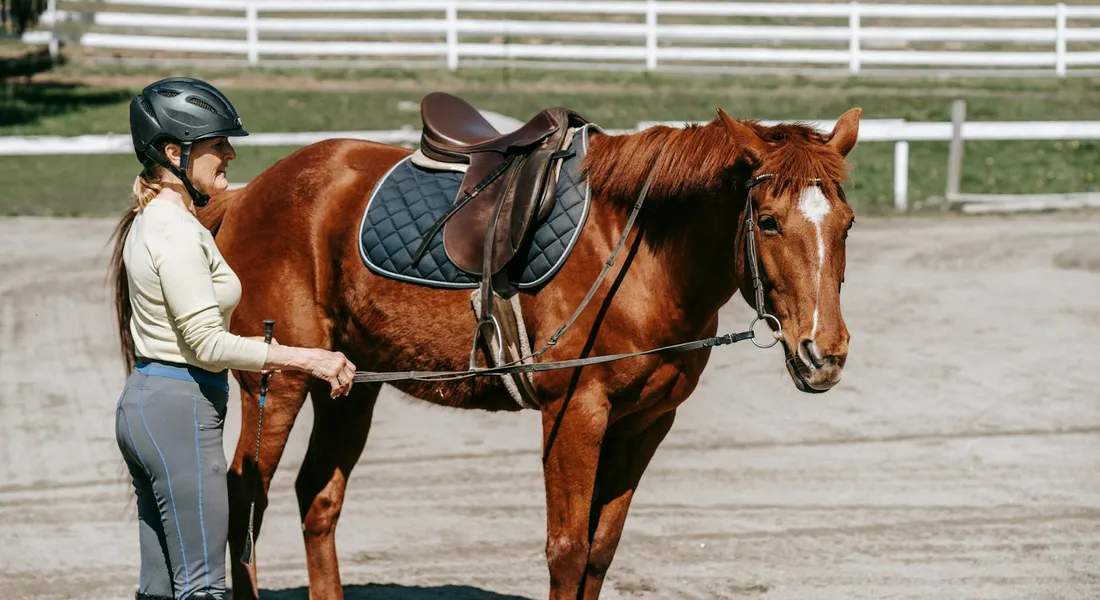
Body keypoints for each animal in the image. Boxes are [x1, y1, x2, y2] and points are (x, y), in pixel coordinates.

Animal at [198, 101, 860, 600]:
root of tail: (253, 190)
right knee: (244, 497)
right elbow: (566, 551)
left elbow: (600, 550)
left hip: (349, 387)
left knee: (318, 498)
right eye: (768, 221)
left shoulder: (645, 423)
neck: (637, 255)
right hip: (277, 381)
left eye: (848, 223)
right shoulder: (575, 412)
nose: (823, 352)